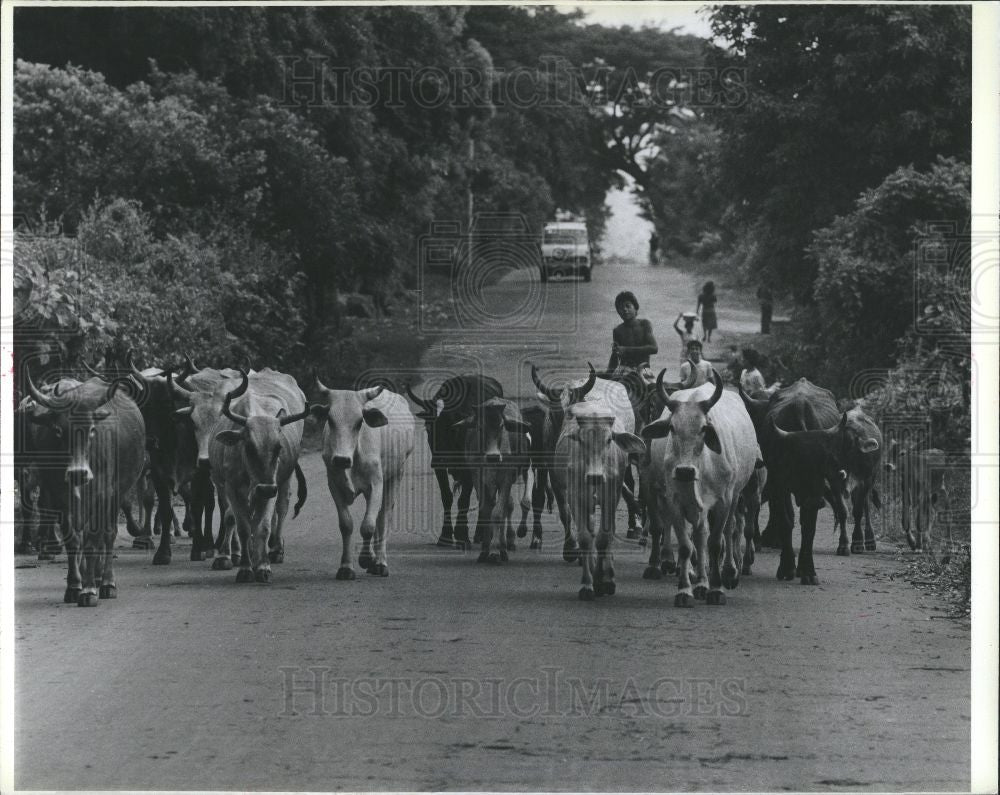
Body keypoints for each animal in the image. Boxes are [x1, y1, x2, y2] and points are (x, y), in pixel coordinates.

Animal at [207, 368, 308, 584]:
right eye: (249, 447)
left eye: (278, 448)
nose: (265, 489)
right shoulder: (232, 488)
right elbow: (242, 526)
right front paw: (244, 567)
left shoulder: (269, 487)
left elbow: (263, 527)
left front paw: (262, 567)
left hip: (283, 481)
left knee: (281, 507)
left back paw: (275, 550)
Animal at [404, 374, 504, 552]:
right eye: (429, 426)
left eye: (450, 426)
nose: (439, 458)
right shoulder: (440, 469)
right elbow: (447, 497)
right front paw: (445, 535)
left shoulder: (469, 469)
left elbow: (463, 500)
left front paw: (462, 535)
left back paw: (480, 534)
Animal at [552, 404, 644, 596]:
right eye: (581, 440)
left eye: (609, 440)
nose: (595, 477)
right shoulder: (576, 499)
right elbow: (586, 538)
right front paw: (588, 584)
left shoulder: (611, 499)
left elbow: (604, 538)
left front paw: (603, 581)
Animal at [640, 370, 756, 608]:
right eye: (672, 427)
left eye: (704, 428)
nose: (685, 471)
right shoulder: (673, 500)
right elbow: (686, 545)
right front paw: (685, 590)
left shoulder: (722, 502)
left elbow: (716, 543)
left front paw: (716, 589)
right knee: (700, 534)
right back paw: (701, 583)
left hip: (734, 496)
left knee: (729, 530)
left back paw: (728, 573)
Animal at [740, 380, 840, 584]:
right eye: (797, 461)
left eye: (824, 462)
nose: (818, 499)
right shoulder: (779, 487)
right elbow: (786, 520)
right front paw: (787, 567)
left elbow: (809, 527)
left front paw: (807, 571)